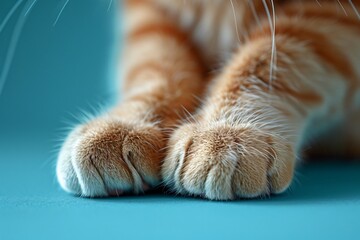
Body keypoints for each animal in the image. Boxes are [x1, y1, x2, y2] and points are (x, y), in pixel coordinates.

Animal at [55, 0, 360, 200]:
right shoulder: (154, 15)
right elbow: (155, 64)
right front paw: (127, 122)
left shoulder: (333, 16)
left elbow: (274, 55)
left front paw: (227, 132)